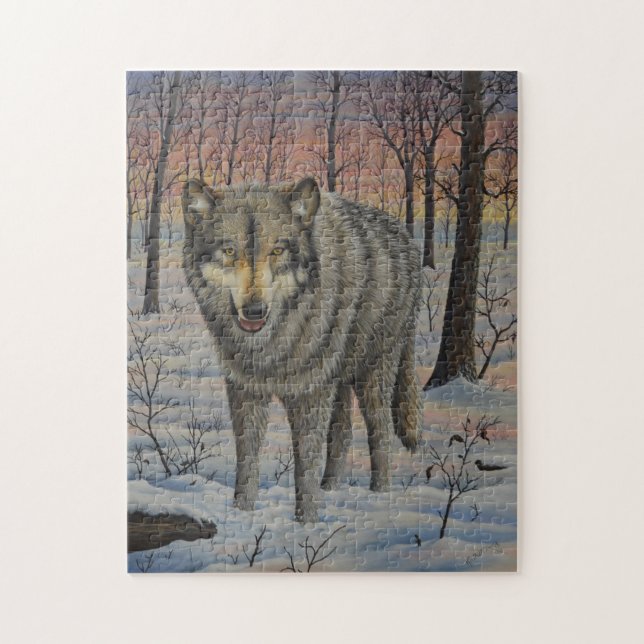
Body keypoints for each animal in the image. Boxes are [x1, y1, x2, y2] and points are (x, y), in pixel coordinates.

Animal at [182, 177, 421, 523]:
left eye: (277, 250)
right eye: (228, 251)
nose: (254, 310)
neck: (269, 345)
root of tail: (409, 239)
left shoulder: (309, 394)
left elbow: (305, 464)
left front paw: (306, 523)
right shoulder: (245, 389)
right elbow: (247, 459)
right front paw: (243, 513)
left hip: (372, 374)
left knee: (380, 430)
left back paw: (380, 495)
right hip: (338, 378)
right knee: (343, 433)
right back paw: (331, 489)